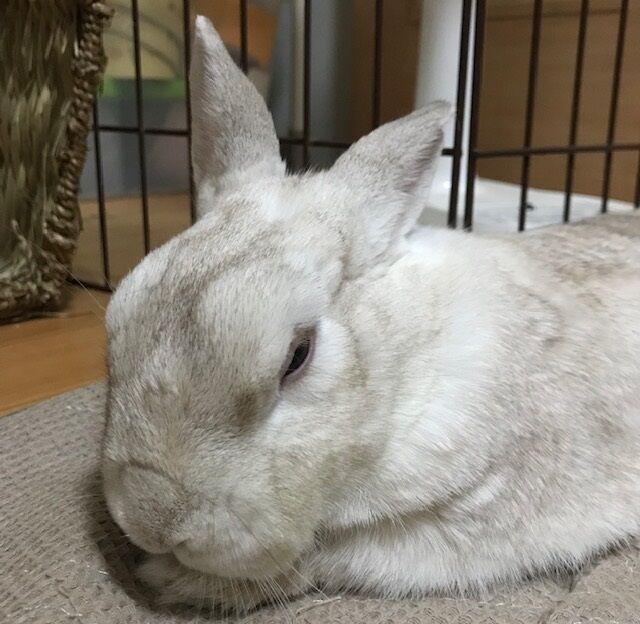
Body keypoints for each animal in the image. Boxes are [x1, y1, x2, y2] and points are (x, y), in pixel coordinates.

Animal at [101, 15, 640, 614]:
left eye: (298, 356)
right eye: (116, 325)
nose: (151, 519)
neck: (403, 359)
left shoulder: (458, 518)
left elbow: (323, 558)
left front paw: (169, 578)